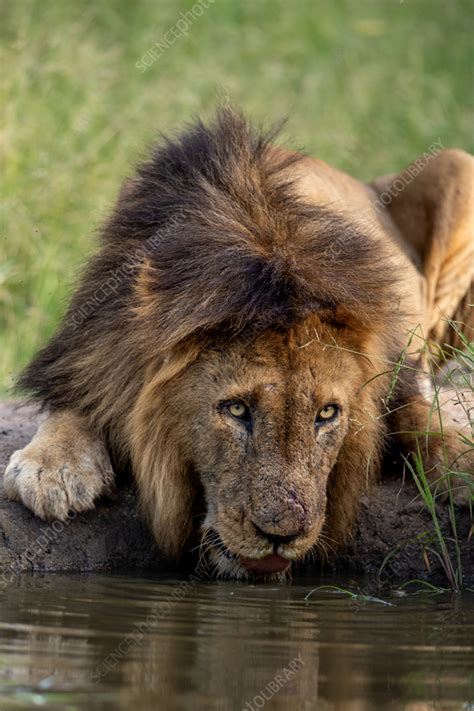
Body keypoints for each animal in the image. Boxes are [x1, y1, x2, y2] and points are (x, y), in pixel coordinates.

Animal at [4, 111, 474, 580]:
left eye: (327, 414)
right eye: (235, 409)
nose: (281, 535)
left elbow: (418, 413)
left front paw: (461, 457)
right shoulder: (91, 346)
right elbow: (77, 402)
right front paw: (53, 467)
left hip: (456, 164)